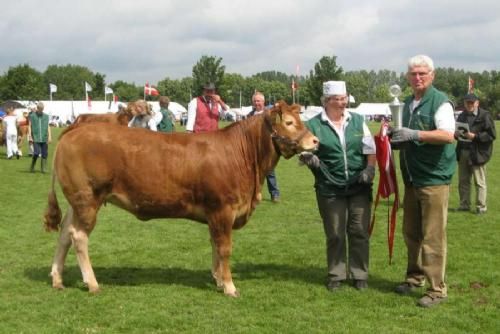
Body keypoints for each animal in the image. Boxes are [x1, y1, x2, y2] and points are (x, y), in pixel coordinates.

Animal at [43, 100, 316, 296]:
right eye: (289, 122)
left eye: (301, 119)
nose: (315, 141)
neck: (243, 156)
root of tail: (76, 128)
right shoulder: (223, 209)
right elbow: (225, 248)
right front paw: (229, 286)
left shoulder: (215, 214)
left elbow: (214, 244)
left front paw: (218, 279)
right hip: (88, 200)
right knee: (78, 237)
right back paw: (92, 283)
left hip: (76, 202)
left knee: (64, 234)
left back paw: (57, 279)